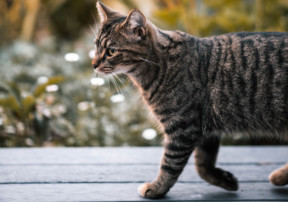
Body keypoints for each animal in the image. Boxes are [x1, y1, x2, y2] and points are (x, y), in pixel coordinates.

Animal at [91, 0, 288, 199]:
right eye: (96, 46)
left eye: (111, 51)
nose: (93, 64)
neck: (159, 64)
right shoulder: (205, 130)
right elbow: (202, 166)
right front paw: (225, 180)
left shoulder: (182, 128)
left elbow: (170, 165)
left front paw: (157, 188)